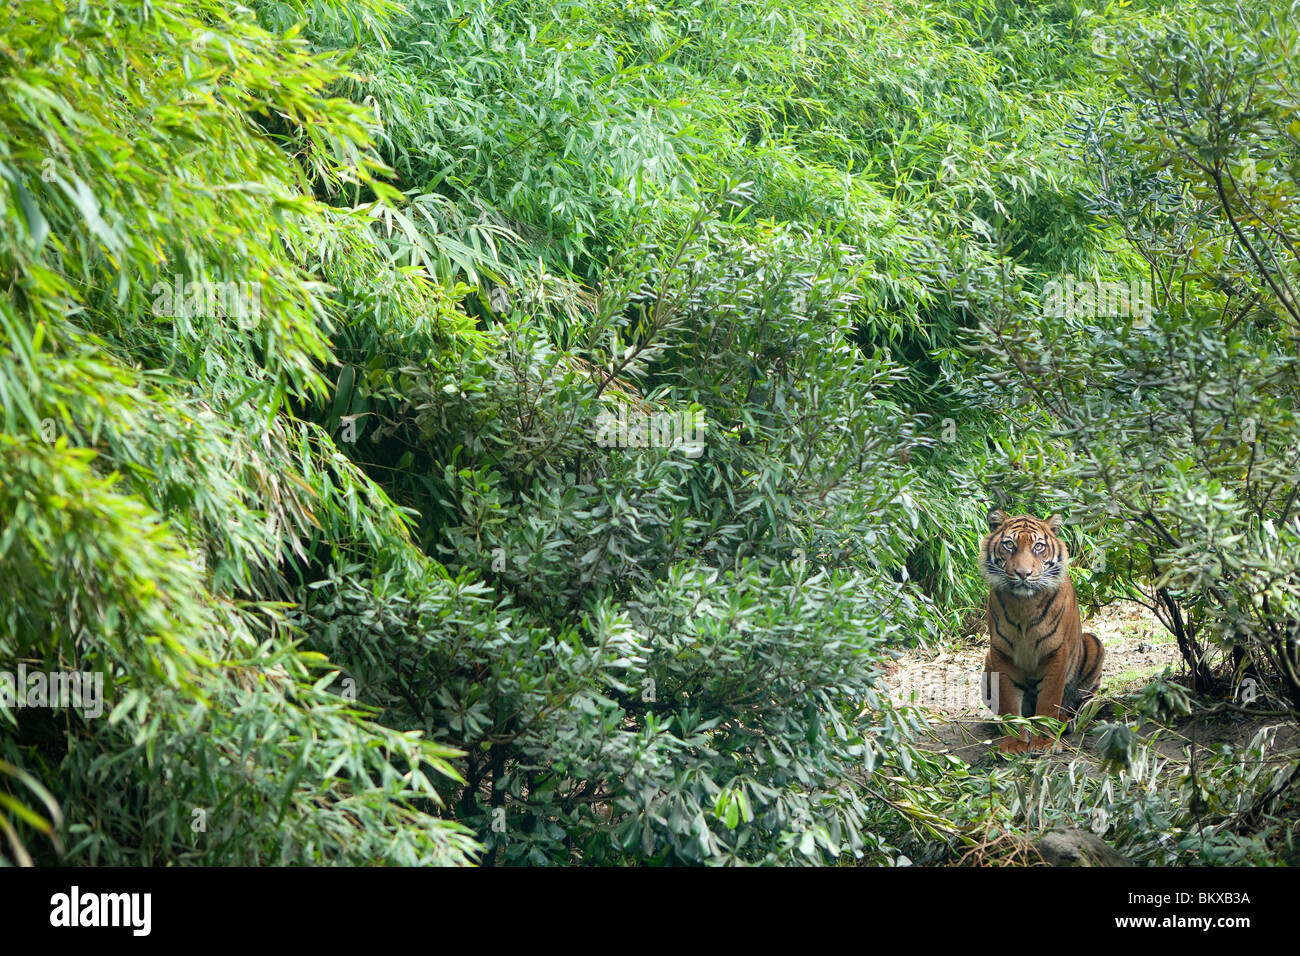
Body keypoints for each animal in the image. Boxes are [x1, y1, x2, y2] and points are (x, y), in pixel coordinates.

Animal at [977, 509, 1102, 754]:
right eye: (1009, 545)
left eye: (1038, 547)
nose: (1023, 573)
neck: (1023, 604)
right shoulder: (1001, 653)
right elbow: (1009, 703)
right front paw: (1014, 743)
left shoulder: (1055, 652)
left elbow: (1048, 701)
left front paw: (1044, 742)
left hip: (1094, 644)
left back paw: (1065, 721)